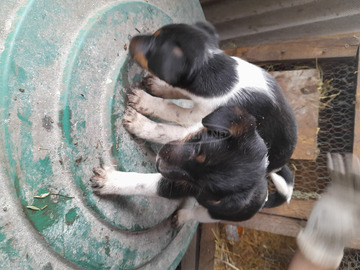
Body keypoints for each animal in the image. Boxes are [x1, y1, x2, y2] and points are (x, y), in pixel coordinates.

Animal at [90, 21, 298, 224]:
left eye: (152, 50)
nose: (132, 39)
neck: (217, 72)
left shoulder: (196, 118)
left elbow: (169, 114)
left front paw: (141, 111)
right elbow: (176, 90)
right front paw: (157, 86)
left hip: (213, 211)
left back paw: (182, 217)